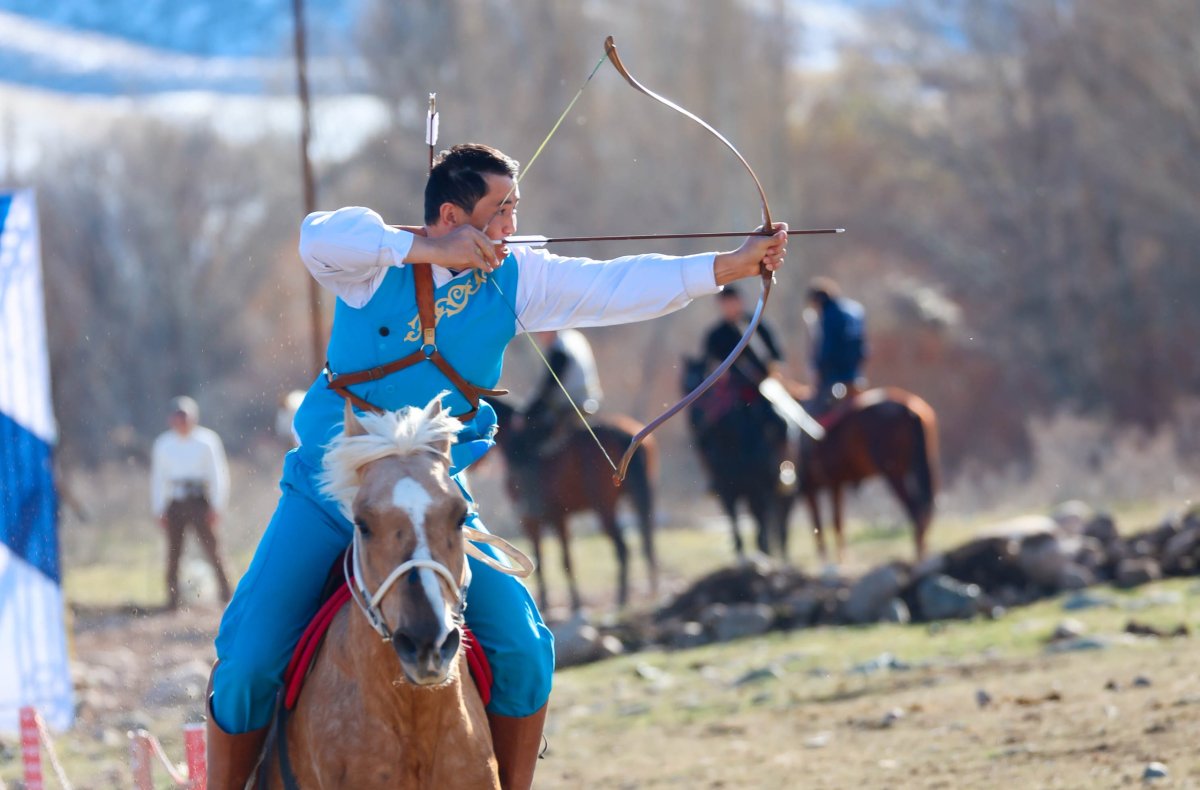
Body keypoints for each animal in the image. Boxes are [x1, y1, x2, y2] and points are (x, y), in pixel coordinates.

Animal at [487, 396, 657, 612]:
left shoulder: (533, 519)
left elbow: (541, 559)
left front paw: (548, 604)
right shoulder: (561, 518)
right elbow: (566, 559)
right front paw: (575, 603)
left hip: (604, 507)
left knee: (622, 548)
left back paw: (621, 599)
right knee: (646, 539)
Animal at [796, 386, 936, 559]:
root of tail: (910, 411)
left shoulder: (810, 488)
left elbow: (822, 525)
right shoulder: (835, 484)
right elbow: (837, 522)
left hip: (894, 473)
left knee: (917, 513)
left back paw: (919, 556)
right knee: (925, 513)